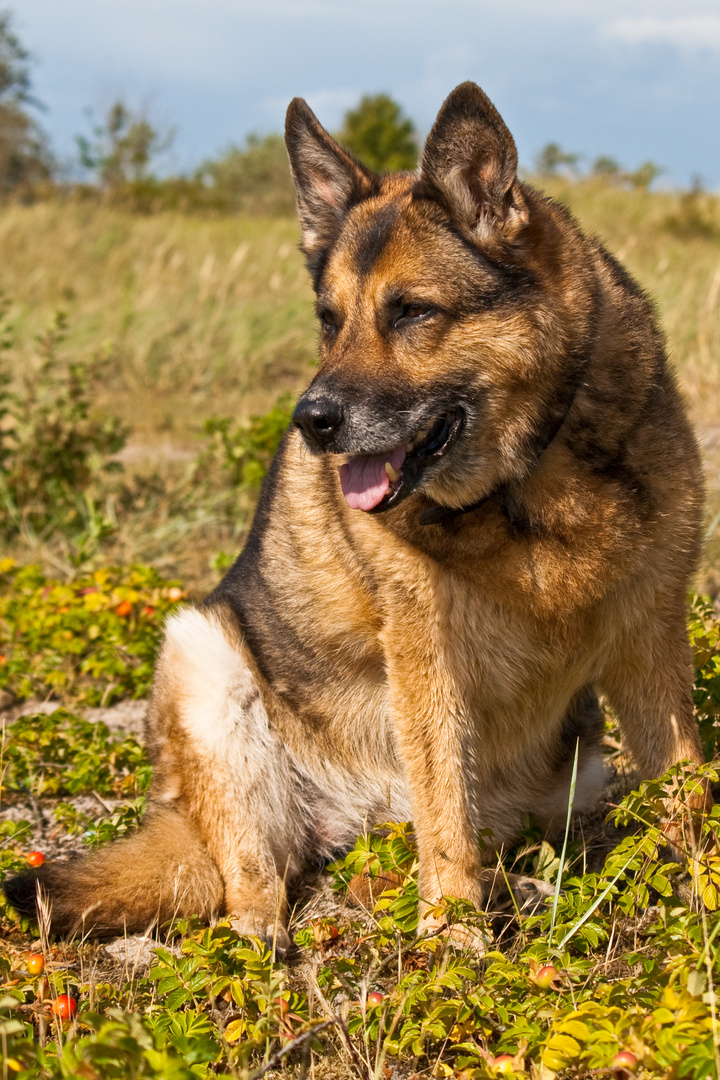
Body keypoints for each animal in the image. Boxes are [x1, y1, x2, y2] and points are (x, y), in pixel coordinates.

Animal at [5, 82, 708, 946]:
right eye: (329, 319)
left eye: (411, 312)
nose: (310, 423)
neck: (529, 478)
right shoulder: (424, 651)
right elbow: (445, 814)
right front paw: (455, 942)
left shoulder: (652, 635)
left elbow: (688, 791)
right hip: (204, 658)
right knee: (259, 883)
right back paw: (270, 943)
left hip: (569, 775)